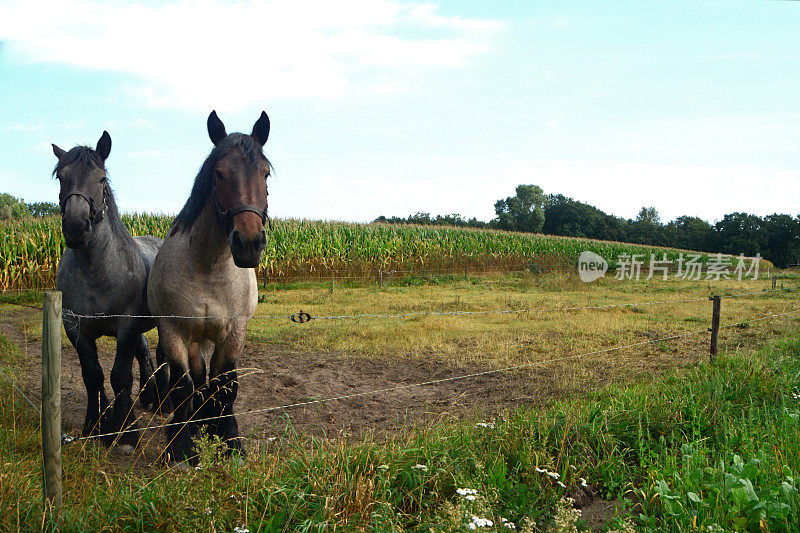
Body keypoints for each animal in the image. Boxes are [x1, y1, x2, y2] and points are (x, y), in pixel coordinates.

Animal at [52, 132, 170, 444]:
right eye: (61, 176)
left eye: (101, 178)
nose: (76, 225)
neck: (98, 270)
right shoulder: (75, 328)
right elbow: (92, 375)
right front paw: (96, 424)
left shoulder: (126, 326)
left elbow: (119, 376)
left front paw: (126, 430)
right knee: (145, 354)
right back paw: (149, 397)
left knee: (161, 355)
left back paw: (163, 402)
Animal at [148, 109, 274, 462]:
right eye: (219, 174)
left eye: (265, 175)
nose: (249, 243)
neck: (209, 268)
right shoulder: (175, 332)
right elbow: (183, 385)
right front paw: (181, 445)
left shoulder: (234, 333)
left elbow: (225, 384)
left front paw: (228, 438)